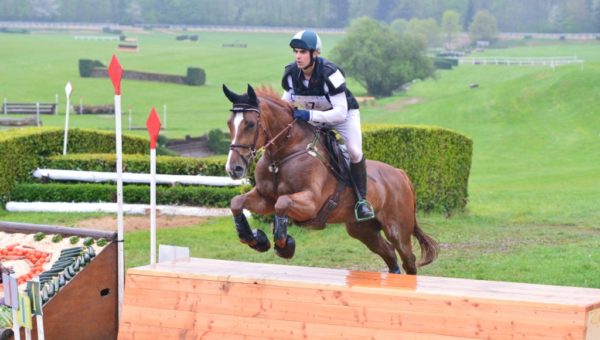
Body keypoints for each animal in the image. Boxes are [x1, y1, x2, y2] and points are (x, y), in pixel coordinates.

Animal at [220, 84, 436, 274]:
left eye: (250, 124)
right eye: (229, 123)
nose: (234, 168)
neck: (281, 157)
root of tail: (400, 174)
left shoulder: (311, 202)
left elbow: (282, 203)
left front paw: (284, 246)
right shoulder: (265, 198)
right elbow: (237, 202)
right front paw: (255, 239)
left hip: (397, 228)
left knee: (408, 259)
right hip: (362, 230)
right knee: (389, 253)